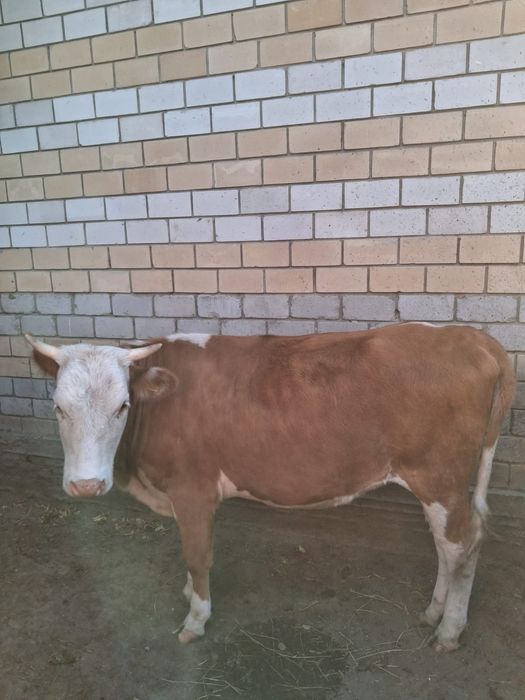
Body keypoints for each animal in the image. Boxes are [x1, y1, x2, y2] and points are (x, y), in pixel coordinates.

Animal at [25, 323, 515, 651]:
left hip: (440, 477)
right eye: (58, 407)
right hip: (440, 485)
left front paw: (196, 618)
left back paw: (449, 629)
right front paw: (189, 593)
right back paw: (433, 612)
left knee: (461, 546)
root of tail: (469, 335)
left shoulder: (193, 490)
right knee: (446, 545)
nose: (86, 485)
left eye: (122, 406)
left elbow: (196, 554)